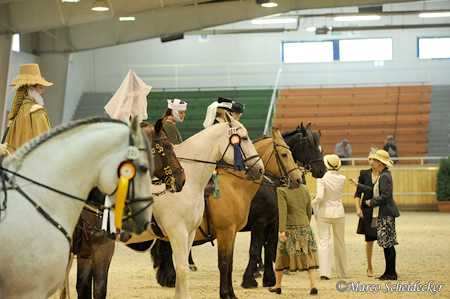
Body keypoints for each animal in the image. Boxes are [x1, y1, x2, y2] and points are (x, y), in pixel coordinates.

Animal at [61, 119, 185, 299]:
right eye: (168, 146)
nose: (182, 178)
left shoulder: (85, 253)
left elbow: (83, 288)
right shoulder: (103, 248)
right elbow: (99, 288)